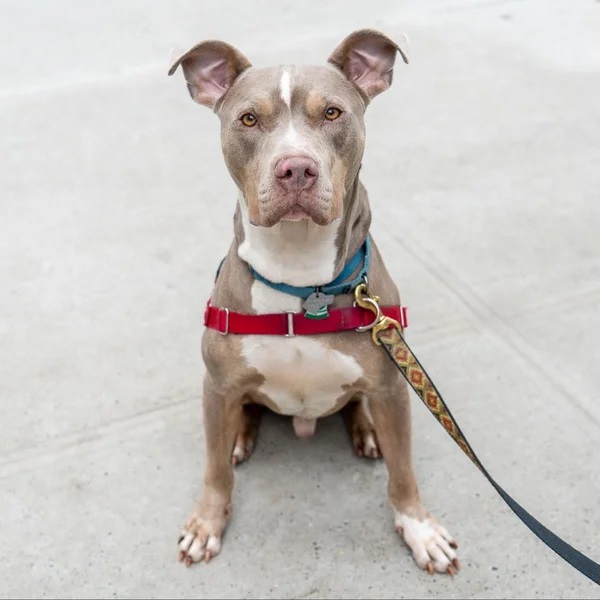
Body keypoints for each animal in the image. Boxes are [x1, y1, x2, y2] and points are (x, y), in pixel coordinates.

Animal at [169, 29, 460, 576]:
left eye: (331, 113)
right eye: (248, 119)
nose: (296, 169)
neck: (301, 286)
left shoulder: (393, 386)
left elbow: (403, 470)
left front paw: (419, 527)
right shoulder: (217, 386)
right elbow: (214, 470)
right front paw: (206, 523)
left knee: (359, 408)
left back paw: (367, 431)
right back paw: (240, 435)